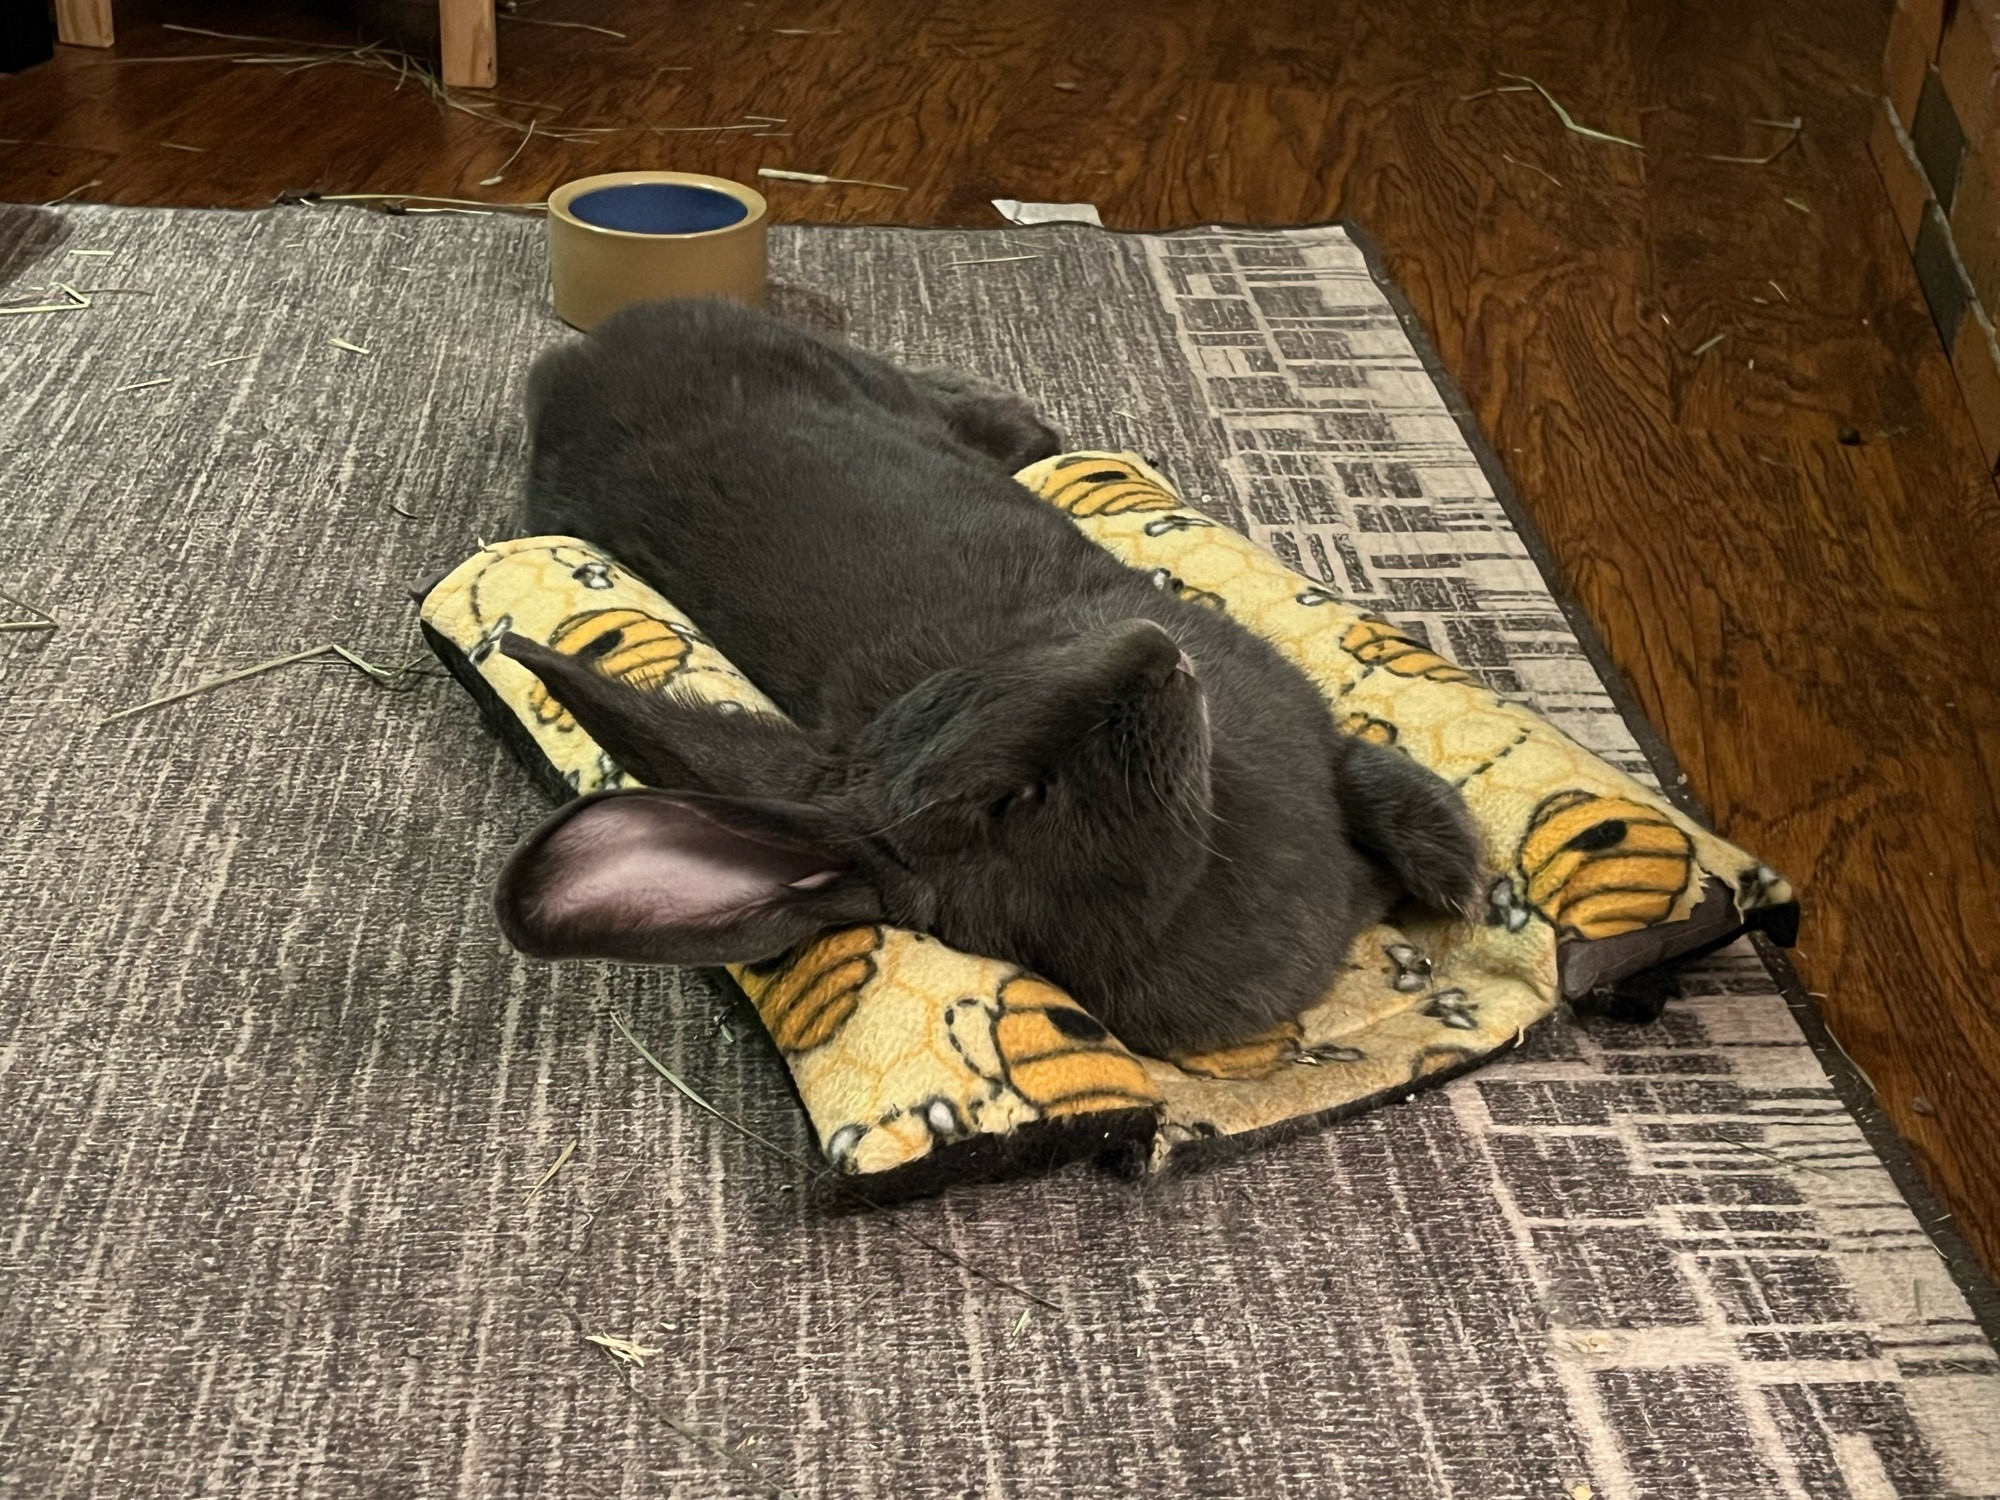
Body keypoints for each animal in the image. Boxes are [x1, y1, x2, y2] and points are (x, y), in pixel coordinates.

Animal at [490, 296, 1480, 1056]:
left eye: (991, 674)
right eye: (1013, 800)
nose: (1151, 649)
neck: (1200, 850)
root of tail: (580, 356)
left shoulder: (1307, 724)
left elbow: (1362, 768)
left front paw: (1454, 866)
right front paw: (1467, 885)